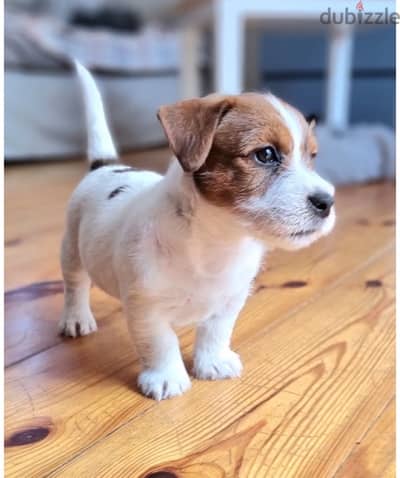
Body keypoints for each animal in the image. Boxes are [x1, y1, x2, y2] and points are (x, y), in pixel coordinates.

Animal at [59, 62, 334, 400]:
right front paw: (166, 377)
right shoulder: (146, 307)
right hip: (72, 248)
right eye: (266, 154)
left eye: (312, 157)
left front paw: (213, 362)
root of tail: (104, 166)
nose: (327, 202)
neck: (217, 240)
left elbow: (216, 332)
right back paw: (76, 318)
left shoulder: (231, 300)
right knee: (76, 285)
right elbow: (161, 343)